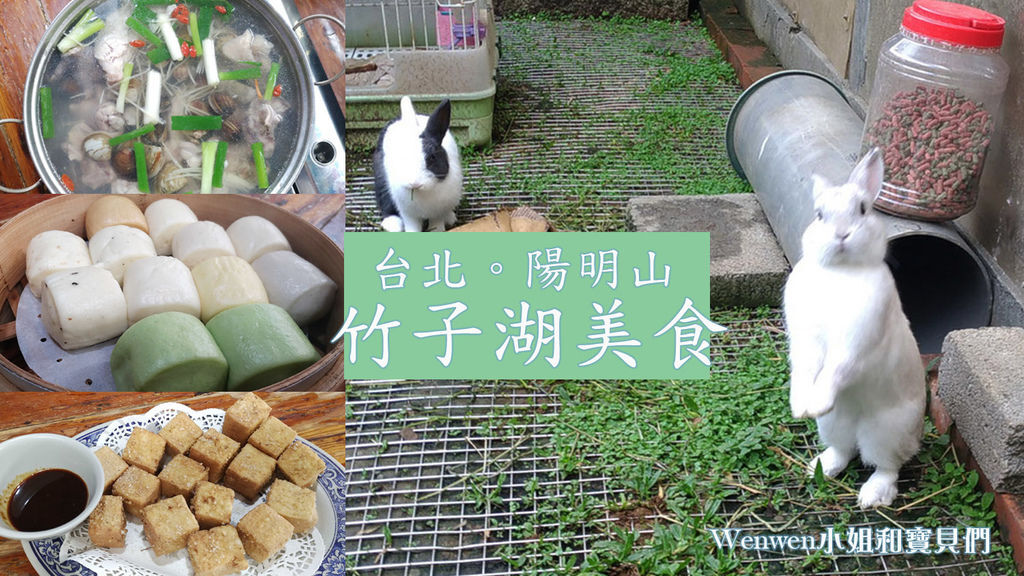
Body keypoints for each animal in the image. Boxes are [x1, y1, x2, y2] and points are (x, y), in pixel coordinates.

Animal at [372, 96, 464, 230]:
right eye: (402, 158)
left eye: (432, 157)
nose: (415, 183)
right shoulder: (408, 213)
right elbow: (412, 227)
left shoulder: (438, 212)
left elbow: (436, 224)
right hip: (381, 179)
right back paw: (393, 225)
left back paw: (449, 218)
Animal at [782, 146, 929, 506]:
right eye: (819, 214)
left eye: (862, 209)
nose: (841, 235)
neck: (841, 270)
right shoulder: (805, 342)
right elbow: (804, 368)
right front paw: (801, 406)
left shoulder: (857, 344)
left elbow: (838, 368)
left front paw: (816, 401)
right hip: (833, 425)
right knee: (844, 450)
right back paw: (819, 467)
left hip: (887, 432)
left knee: (886, 465)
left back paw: (873, 496)